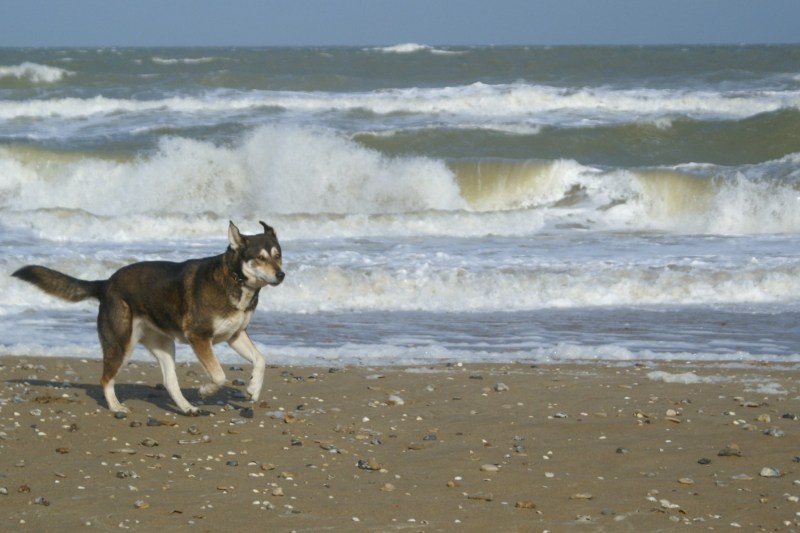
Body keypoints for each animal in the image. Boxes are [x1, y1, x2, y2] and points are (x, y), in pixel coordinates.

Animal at [12, 220, 284, 416]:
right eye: (260, 258)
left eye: (278, 255)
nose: (281, 275)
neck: (235, 279)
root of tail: (106, 283)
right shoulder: (199, 336)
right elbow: (219, 375)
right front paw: (206, 390)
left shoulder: (235, 335)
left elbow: (261, 360)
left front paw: (253, 389)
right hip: (120, 344)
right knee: (105, 379)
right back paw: (116, 406)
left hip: (164, 345)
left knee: (169, 381)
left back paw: (187, 408)